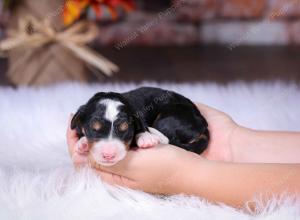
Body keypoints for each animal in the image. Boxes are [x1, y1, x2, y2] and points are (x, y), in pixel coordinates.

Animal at [71, 87, 210, 166]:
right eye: (94, 129)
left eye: (125, 130)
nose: (109, 155)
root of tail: (203, 123)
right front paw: (82, 143)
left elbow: (141, 127)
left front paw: (145, 138)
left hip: (169, 118)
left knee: (166, 138)